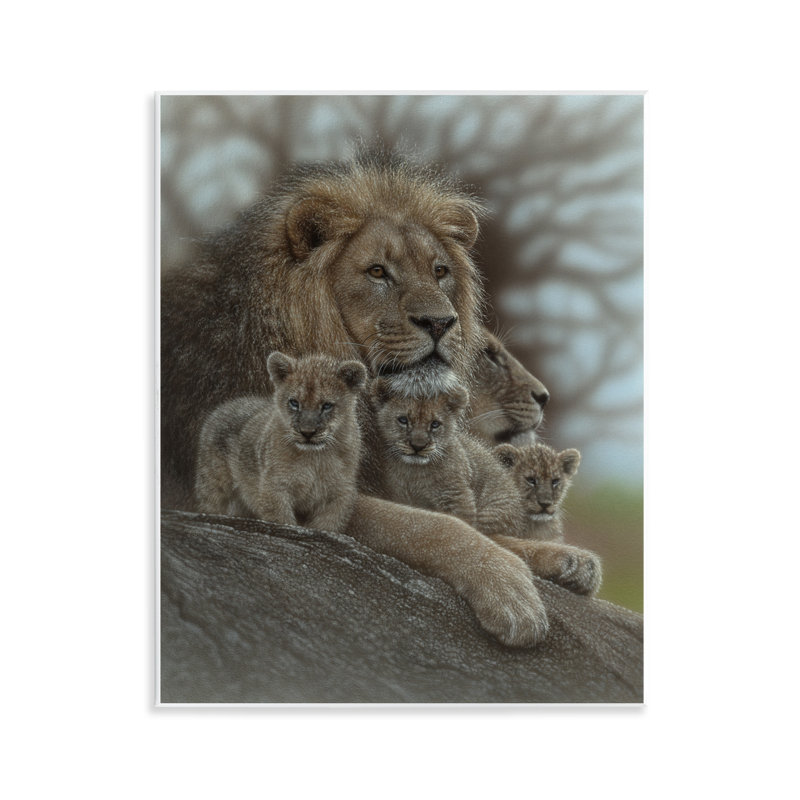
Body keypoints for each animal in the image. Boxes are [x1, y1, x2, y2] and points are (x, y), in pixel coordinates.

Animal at [161, 149, 594, 646]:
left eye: (440, 272)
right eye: (377, 272)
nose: (440, 322)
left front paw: (567, 560)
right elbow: (429, 526)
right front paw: (510, 590)